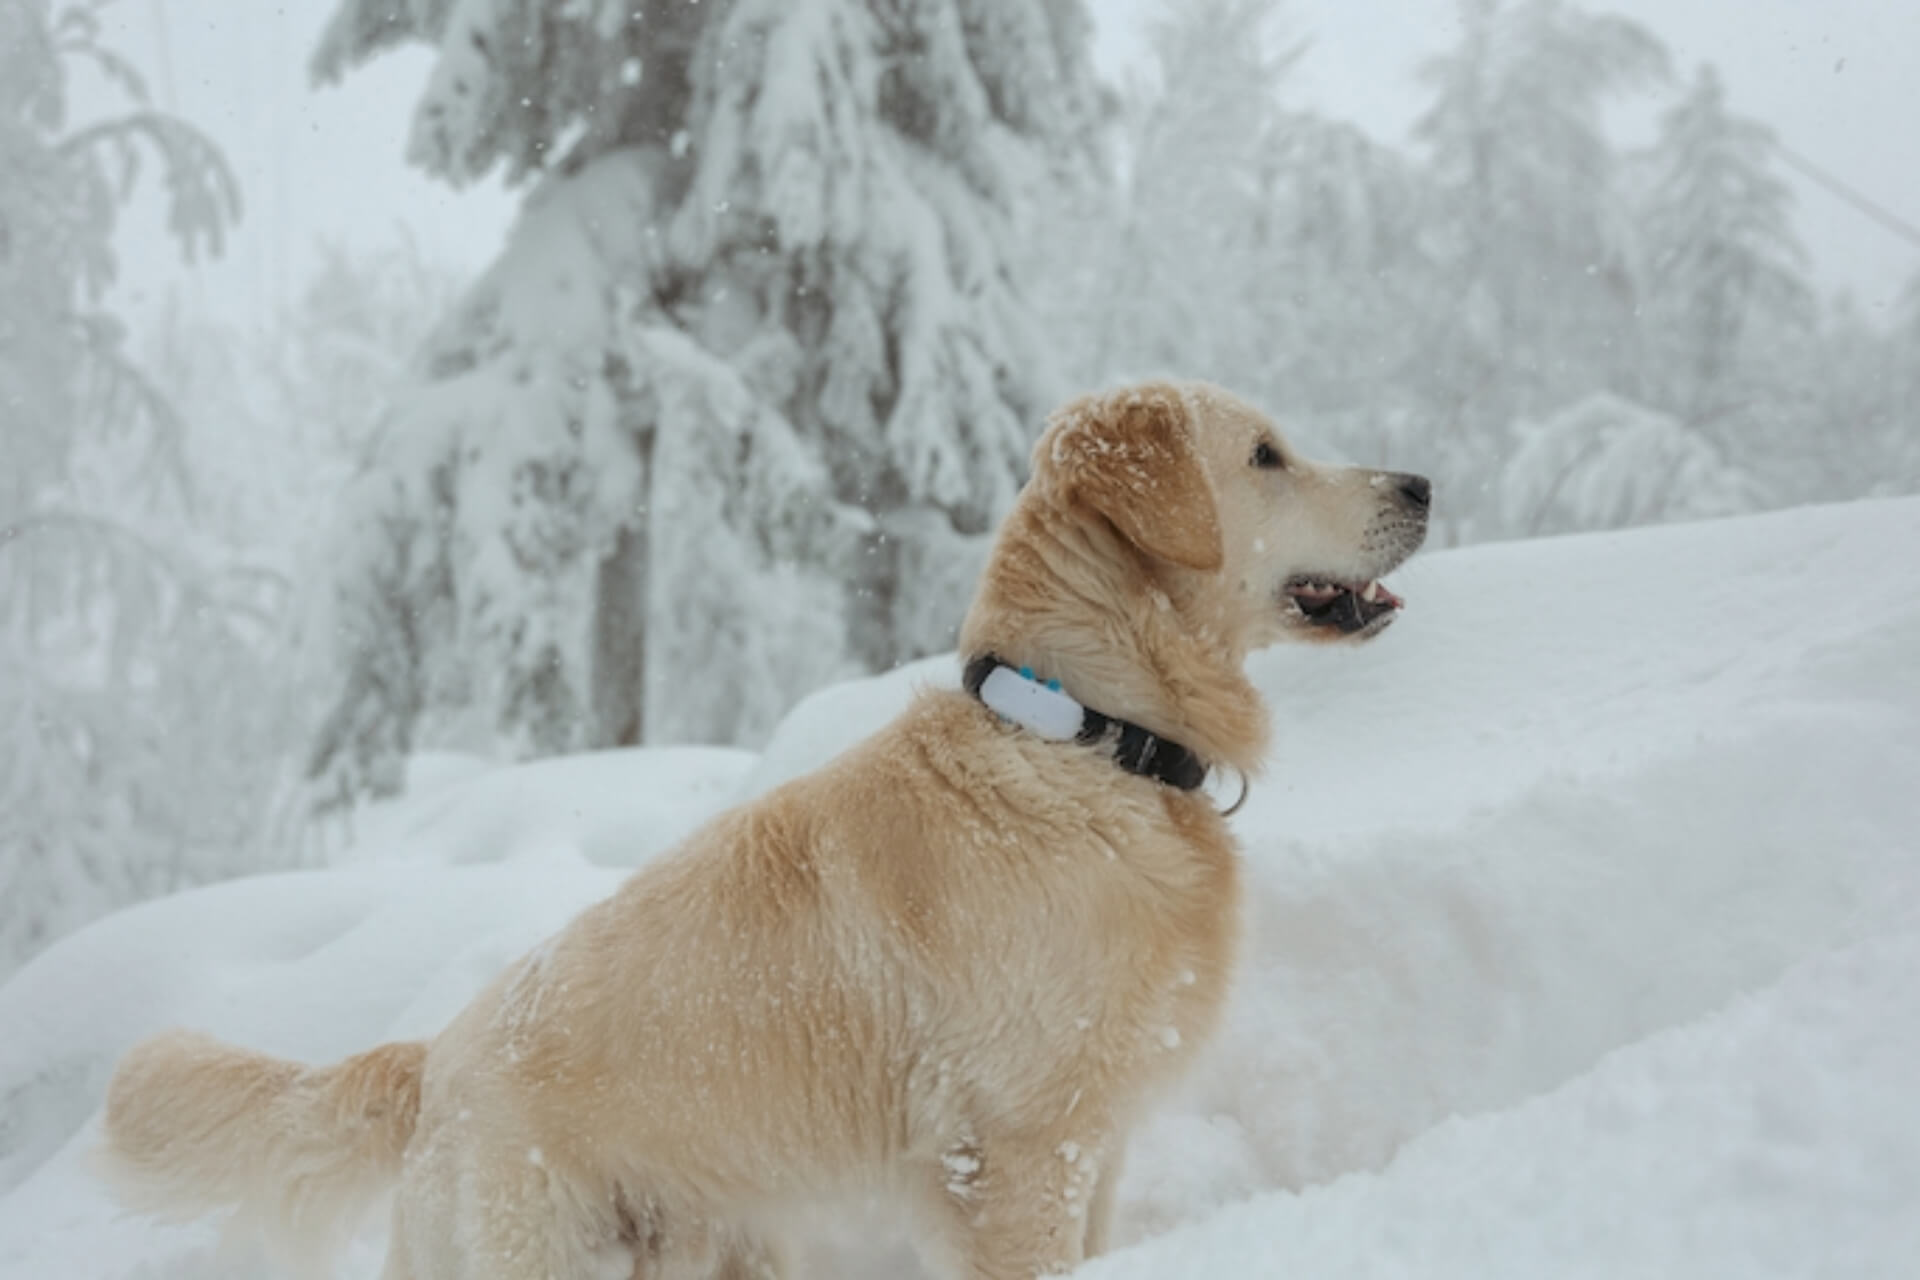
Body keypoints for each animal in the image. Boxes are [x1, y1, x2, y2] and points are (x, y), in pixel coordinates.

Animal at [101, 383, 1428, 1280]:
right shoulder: (1014, 1145)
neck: (1082, 737)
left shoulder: (1091, 1139)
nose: (1420, 485)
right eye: (1266, 454)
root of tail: (433, 1057)